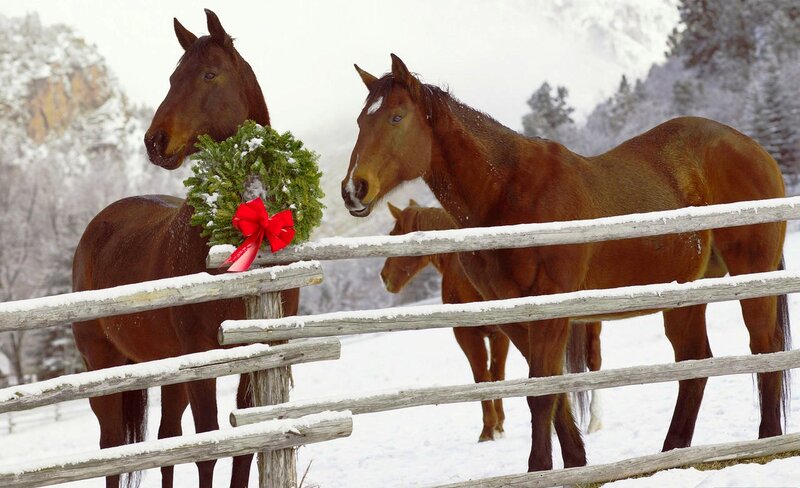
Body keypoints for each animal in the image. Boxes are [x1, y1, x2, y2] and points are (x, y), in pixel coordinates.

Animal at [71, 10, 298, 488]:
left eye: (209, 74)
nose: (155, 142)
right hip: (105, 368)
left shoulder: (257, 356)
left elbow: (242, 449)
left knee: (166, 440)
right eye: (173, 77)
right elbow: (208, 450)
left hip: (169, 371)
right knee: (114, 450)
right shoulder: (202, 360)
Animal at [380, 200, 604, 441]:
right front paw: (499, 426)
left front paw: (488, 430)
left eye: (393, 234)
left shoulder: (469, 335)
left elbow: (483, 377)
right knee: (590, 361)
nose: (384, 276)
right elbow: (497, 376)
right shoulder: (500, 335)